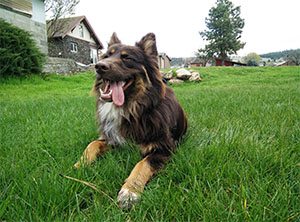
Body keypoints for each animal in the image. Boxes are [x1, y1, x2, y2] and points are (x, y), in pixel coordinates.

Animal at [74, 32, 188, 208]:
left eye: (127, 58)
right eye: (106, 56)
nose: (99, 66)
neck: (132, 108)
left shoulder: (165, 148)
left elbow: (142, 164)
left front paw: (130, 191)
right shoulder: (113, 139)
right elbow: (92, 144)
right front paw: (80, 165)